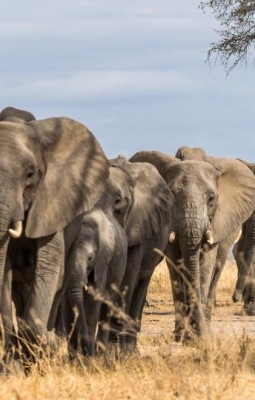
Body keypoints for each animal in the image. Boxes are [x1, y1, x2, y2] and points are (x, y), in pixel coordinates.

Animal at [0, 116, 108, 354]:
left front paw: (47, 342)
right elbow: (5, 273)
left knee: (60, 283)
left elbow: (50, 266)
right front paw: (15, 359)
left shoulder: (54, 202)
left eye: (30, 174)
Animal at [130, 149, 255, 340]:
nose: (234, 299)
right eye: (172, 195)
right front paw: (182, 335)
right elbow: (175, 265)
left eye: (211, 198)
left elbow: (206, 264)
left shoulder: (216, 221)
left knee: (217, 268)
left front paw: (198, 336)